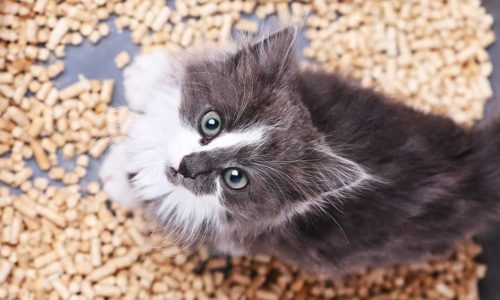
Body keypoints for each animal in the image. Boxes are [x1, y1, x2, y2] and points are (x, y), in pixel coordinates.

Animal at [99, 27, 500, 276]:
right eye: (210, 123)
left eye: (235, 178)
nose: (187, 167)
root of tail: (476, 165)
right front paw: (147, 74)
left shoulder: (235, 231)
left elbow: (149, 190)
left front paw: (118, 178)